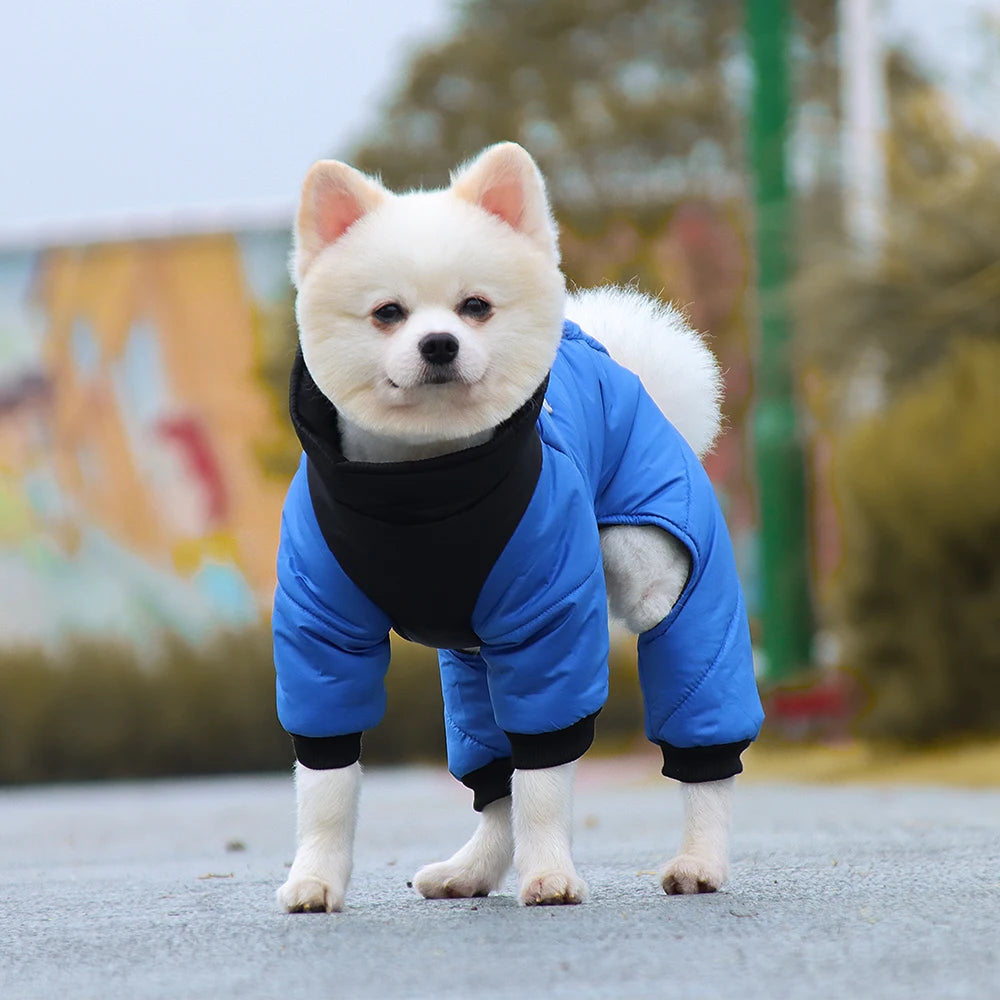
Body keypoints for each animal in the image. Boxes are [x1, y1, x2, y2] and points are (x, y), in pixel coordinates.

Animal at [270, 143, 760, 916]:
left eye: (476, 307)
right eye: (387, 313)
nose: (439, 343)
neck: (423, 489)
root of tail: (616, 361)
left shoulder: (544, 627)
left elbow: (543, 780)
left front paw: (550, 872)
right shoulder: (321, 635)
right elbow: (326, 785)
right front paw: (314, 877)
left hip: (663, 584)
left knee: (699, 719)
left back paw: (700, 859)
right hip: (469, 655)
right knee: (489, 773)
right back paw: (473, 869)